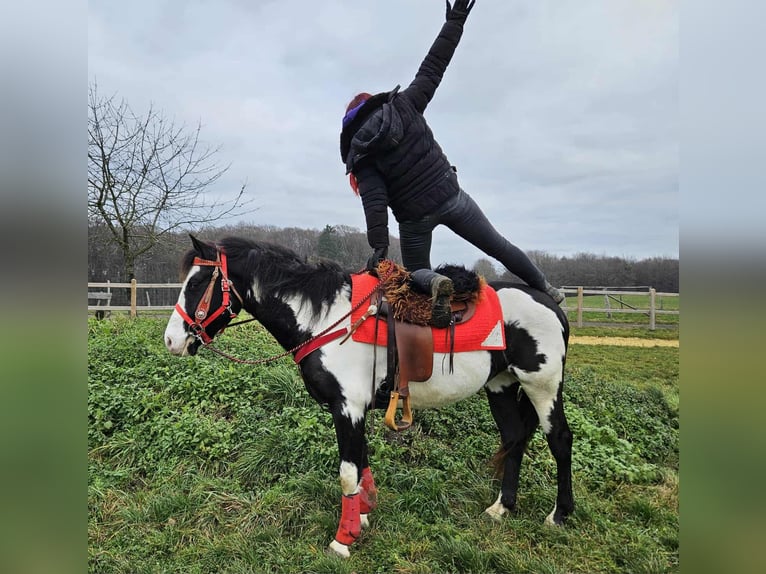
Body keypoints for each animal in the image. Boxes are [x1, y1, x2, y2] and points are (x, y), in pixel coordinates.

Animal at [163, 235, 573, 558]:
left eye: (197, 283)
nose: (171, 340)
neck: (327, 319)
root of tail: (550, 303)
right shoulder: (353, 409)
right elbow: (360, 466)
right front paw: (361, 517)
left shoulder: (347, 407)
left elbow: (347, 473)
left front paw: (343, 539)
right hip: (501, 385)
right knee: (515, 438)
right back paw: (502, 508)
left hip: (543, 385)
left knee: (559, 439)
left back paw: (559, 515)